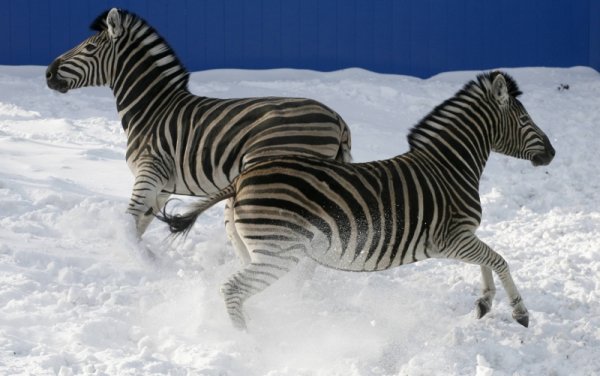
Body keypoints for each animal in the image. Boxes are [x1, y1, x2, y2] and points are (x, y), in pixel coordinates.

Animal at [47, 8, 352, 262]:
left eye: (89, 47)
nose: (48, 73)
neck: (152, 110)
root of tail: (338, 120)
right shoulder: (162, 186)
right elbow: (141, 223)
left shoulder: (149, 171)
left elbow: (130, 220)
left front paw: (129, 258)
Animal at [158, 70, 552, 328]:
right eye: (524, 119)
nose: (552, 152)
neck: (448, 168)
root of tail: (241, 179)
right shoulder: (449, 238)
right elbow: (498, 259)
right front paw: (520, 312)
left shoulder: (461, 238)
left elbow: (486, 260)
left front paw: (484, 303)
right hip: (279, 252)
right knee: (232, 289)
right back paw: (250, 343)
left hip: (254, 249)